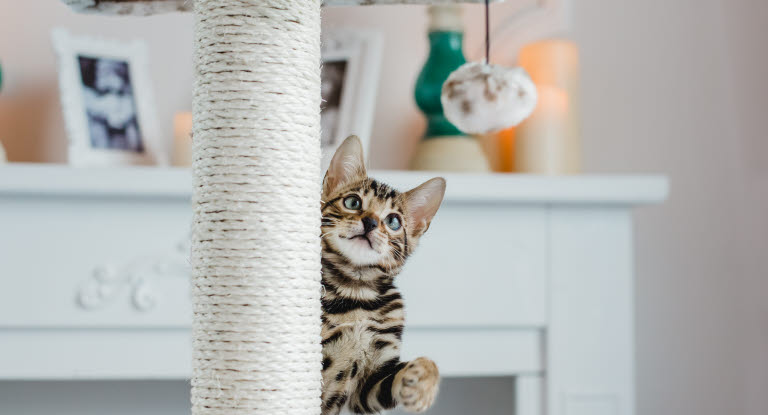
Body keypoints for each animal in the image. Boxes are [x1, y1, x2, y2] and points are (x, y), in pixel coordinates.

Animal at [320, 136, 448, 415]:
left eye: (393, 221)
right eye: (353, 202)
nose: (369, 222)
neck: (355, 289)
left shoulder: (368, 385)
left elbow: (414, 369)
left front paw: (423, 383)